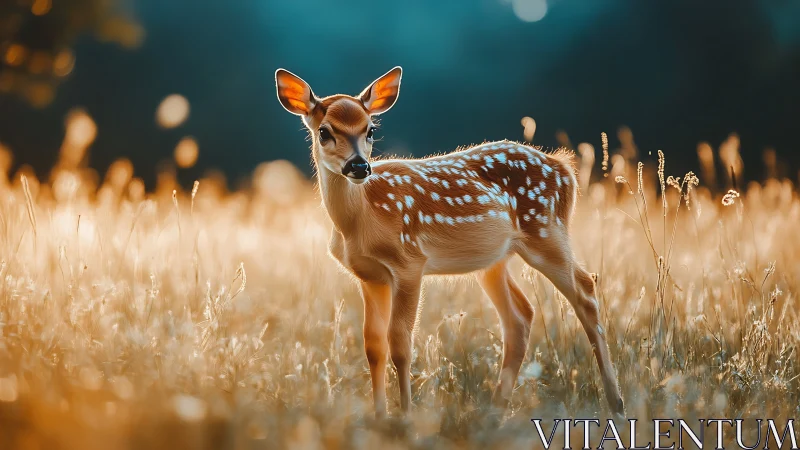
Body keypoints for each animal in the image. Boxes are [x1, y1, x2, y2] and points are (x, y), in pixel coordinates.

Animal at [274, 66, 624, 418]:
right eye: (324, 132)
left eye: (370, 130)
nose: (359, 166)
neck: (361, 220)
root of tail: (564, 169)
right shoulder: (370, 276)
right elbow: (373, 346)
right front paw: (379, 416)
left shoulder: (409, 263)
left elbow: (400, 343)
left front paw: (406, 416)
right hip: (495, 260)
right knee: (521, 315)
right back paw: (497, 409)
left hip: (545, 231)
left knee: (585, 289)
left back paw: (616, 403)